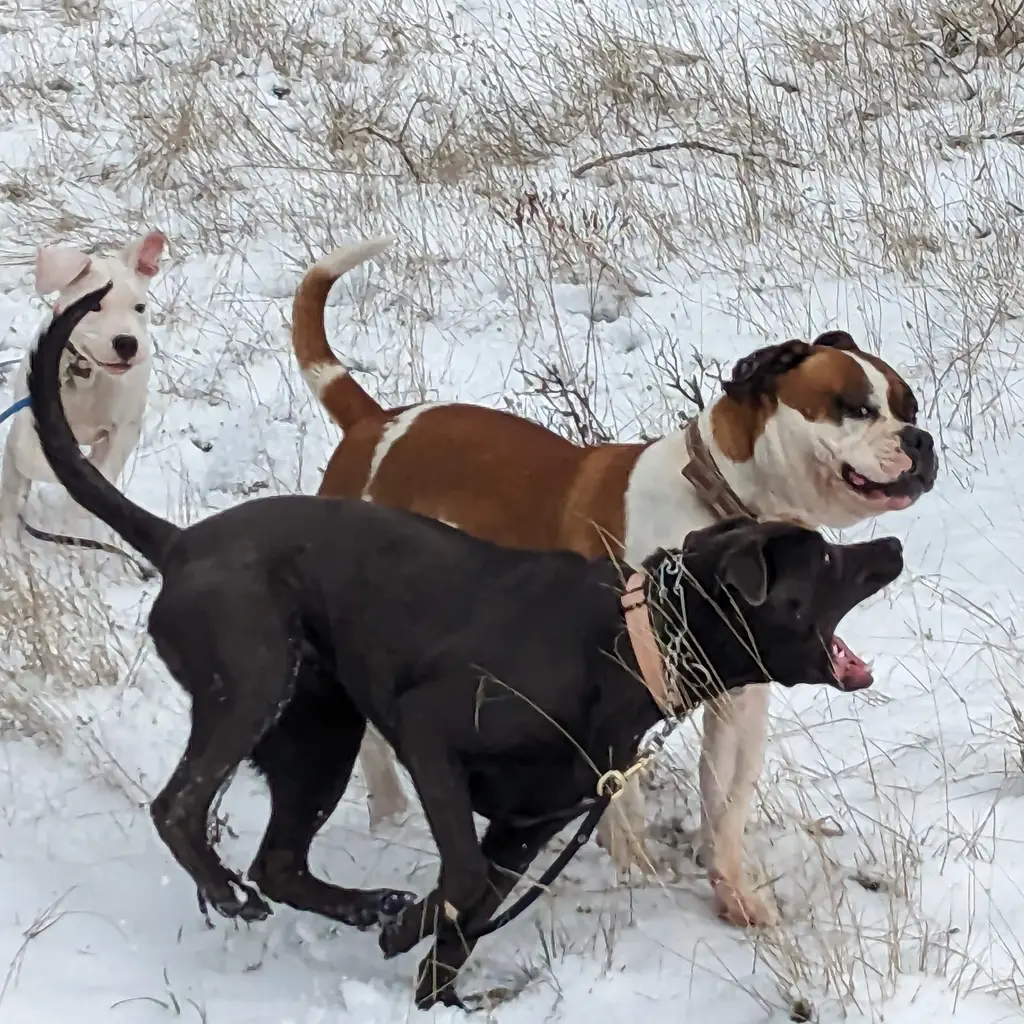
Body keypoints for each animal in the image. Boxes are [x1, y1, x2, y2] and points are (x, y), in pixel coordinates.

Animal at [0, 229, 165, 540]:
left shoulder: (125, 430)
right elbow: (33, 462)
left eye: (140, 307)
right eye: (94, 306)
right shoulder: (28, 430)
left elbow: (106, 469)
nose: (127, 343)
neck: (86, 373)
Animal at [25, 286, 905, 1007]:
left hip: (313, 726)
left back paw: (357, 900)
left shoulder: (671, 747)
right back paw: (255, 879)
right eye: (853, 407)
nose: (920, 443)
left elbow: (492, 895)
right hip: (255, 684)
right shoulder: (439, 734)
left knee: (282, 854)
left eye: (907, 401)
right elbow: (474, 874)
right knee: (184, 805)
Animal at [288, 237, 937, 929]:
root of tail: (376, 423)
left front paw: (735, 893)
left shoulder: (738, 699)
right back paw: (388, 809)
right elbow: (620, 800)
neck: (722, 503)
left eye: (909, 408)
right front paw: (634, 869)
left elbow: (725, 801)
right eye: (856, 408)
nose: (920, 439)